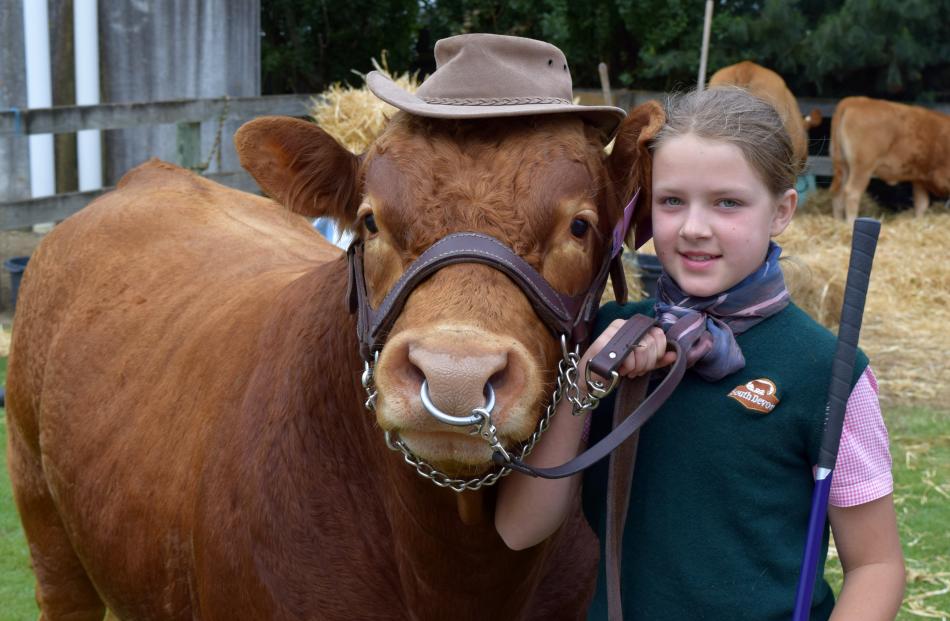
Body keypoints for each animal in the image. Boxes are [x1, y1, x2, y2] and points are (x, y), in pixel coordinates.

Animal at [5, 95, 660, 616]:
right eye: (369, 221)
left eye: (580, 226)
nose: (454, 376)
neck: (456, 572)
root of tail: (152, 175)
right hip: (44, 522)